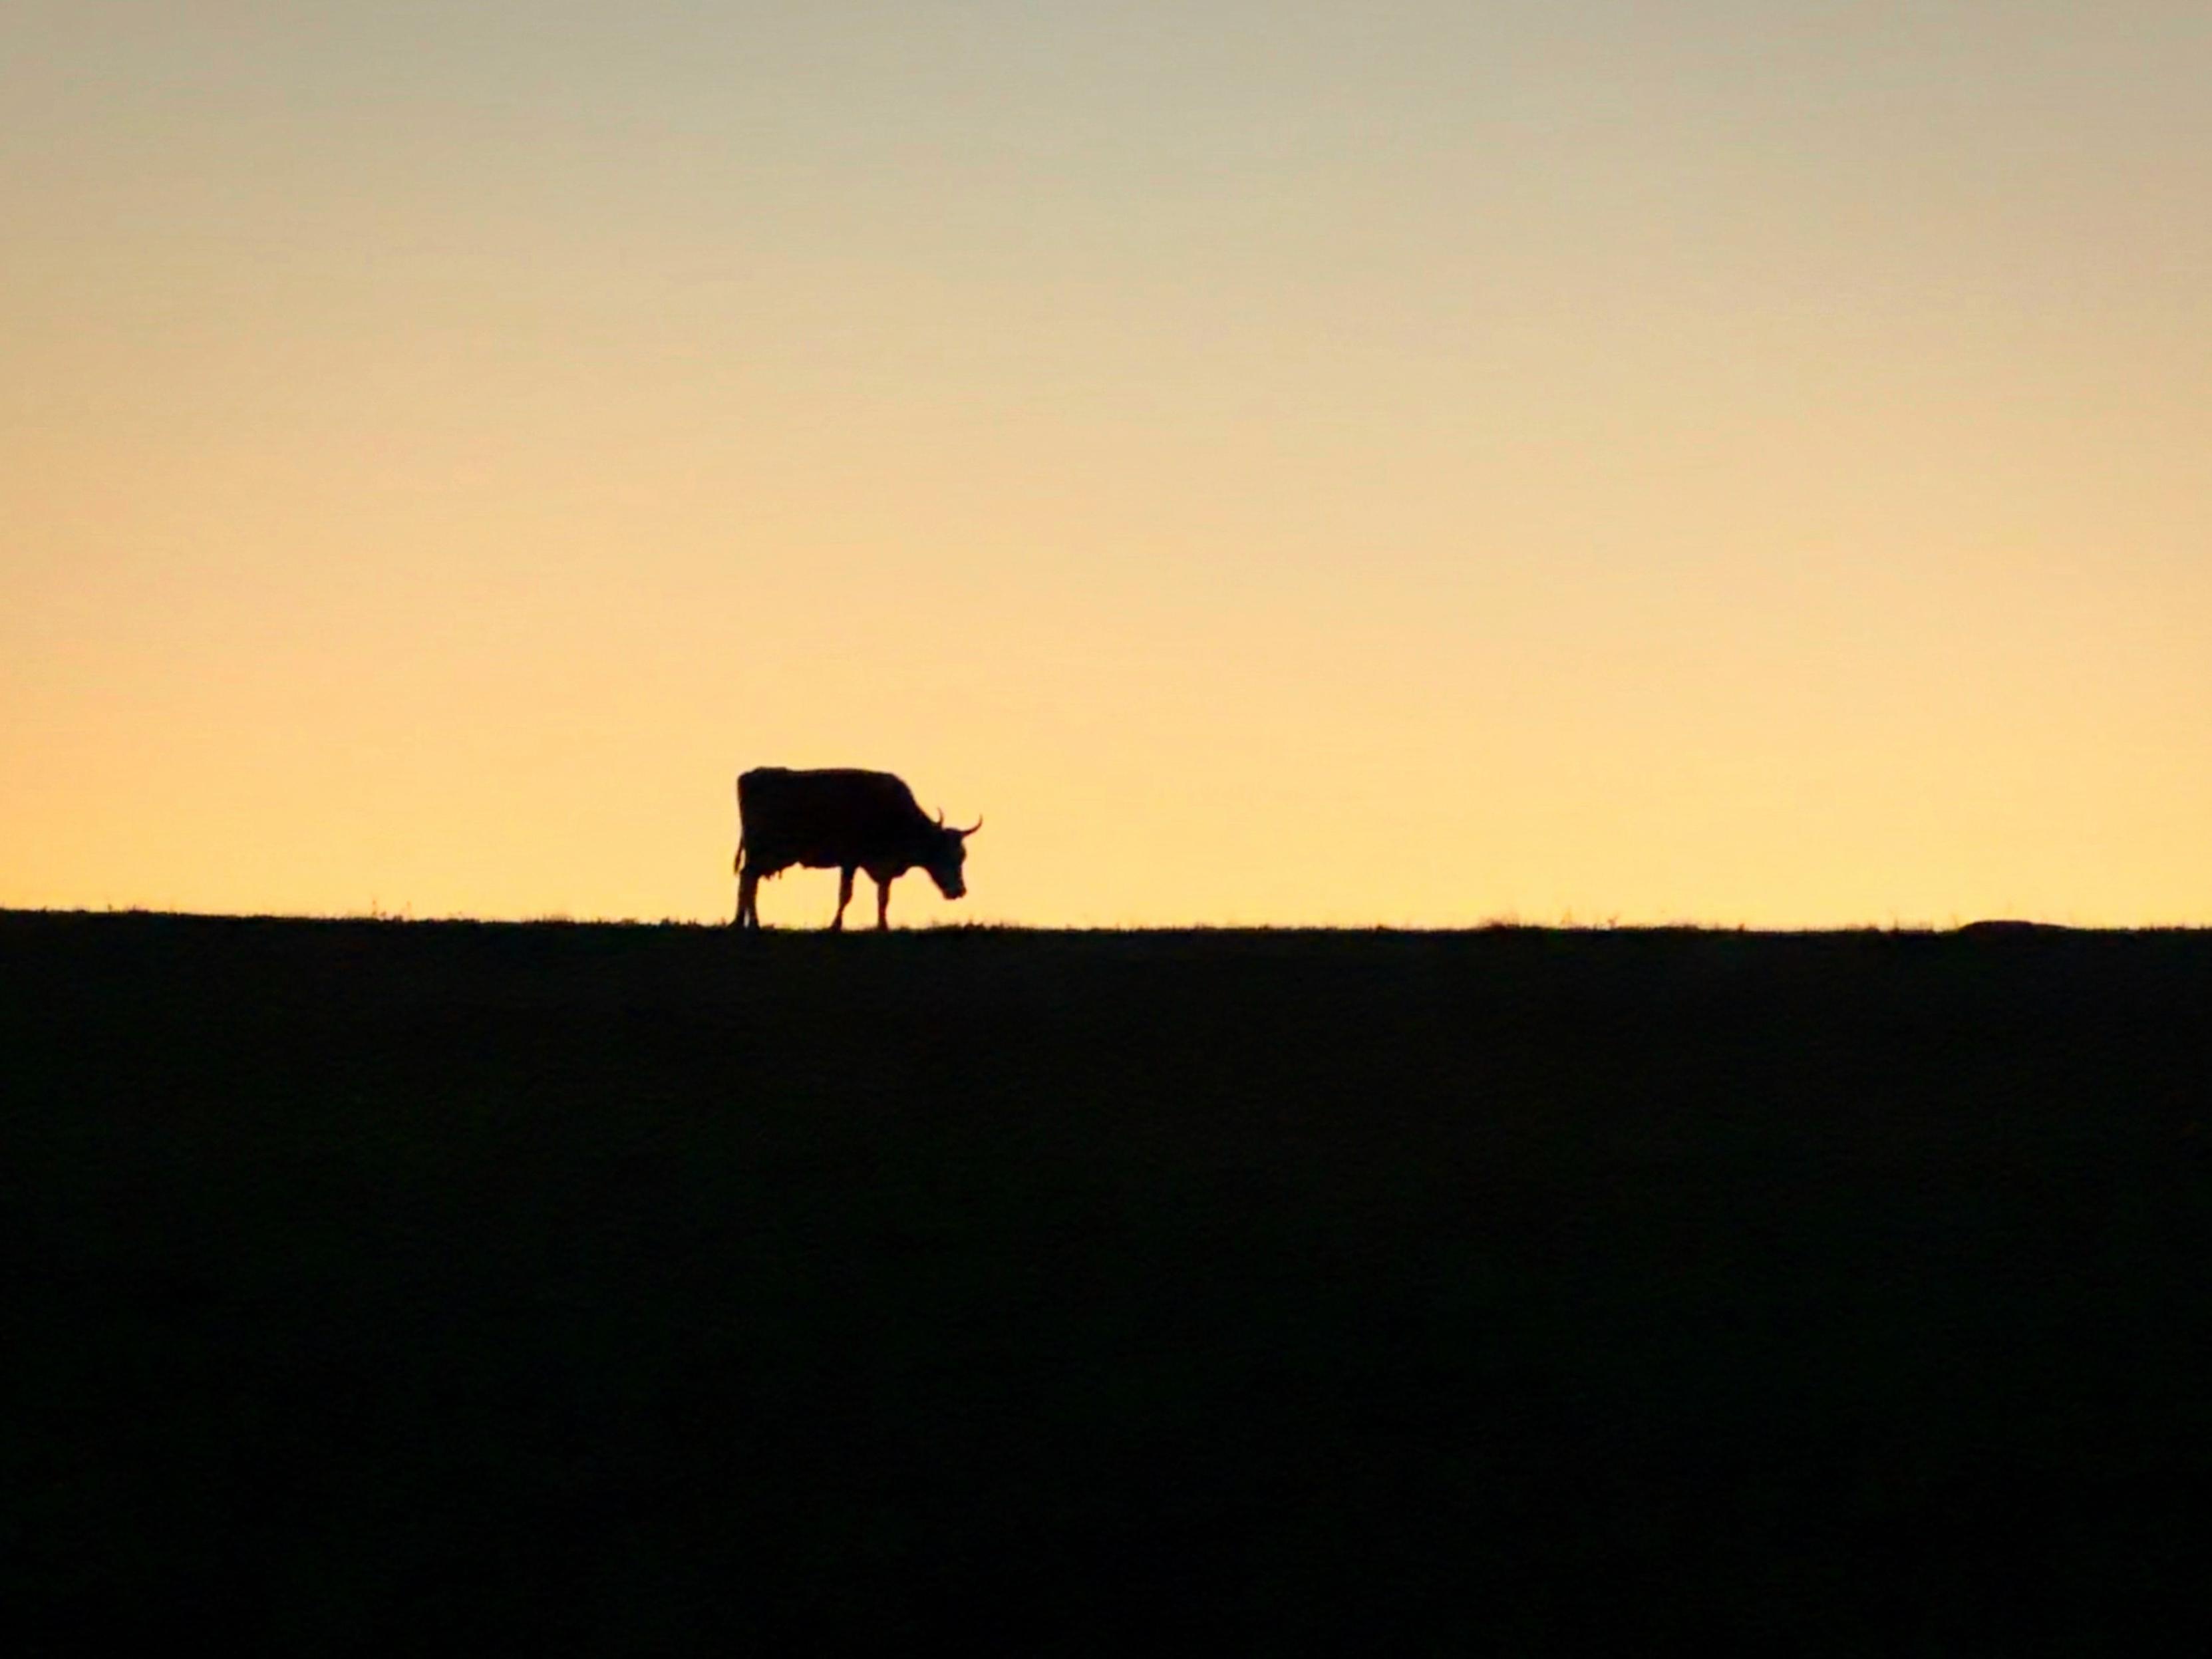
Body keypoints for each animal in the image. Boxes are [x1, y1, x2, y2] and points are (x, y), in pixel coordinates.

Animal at [733, 767, 981, 931]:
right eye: (945, 856)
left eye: (962, 857)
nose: (959, 891)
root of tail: (751, 776)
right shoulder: (850, 860)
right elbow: (846, 894)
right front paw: (835, 925)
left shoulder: (881, 868)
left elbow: (883, 897)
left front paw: (883, 925)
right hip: (763, 852)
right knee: (748, 879)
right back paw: (750, 923)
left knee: (748, 880)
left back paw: (742, 922)